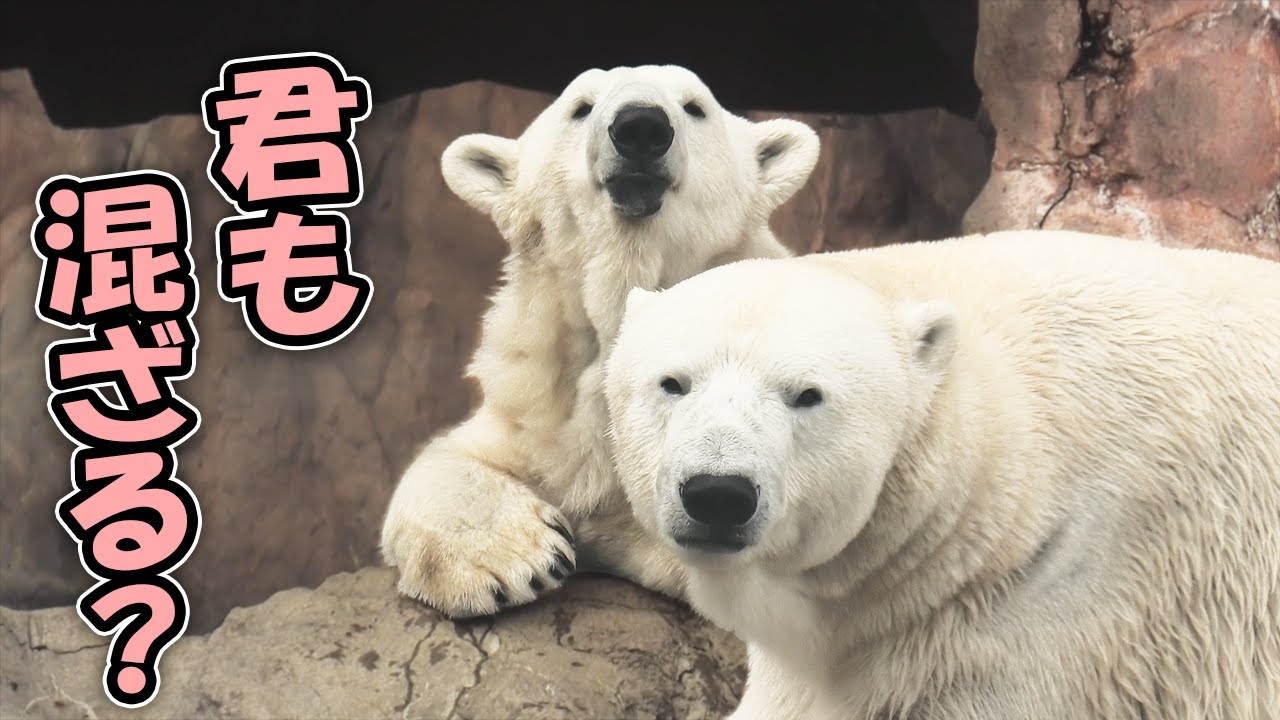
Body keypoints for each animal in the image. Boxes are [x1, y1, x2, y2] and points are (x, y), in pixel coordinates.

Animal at [381, 65, 821, 618]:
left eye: (695, 106)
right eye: (581, 107)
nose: (641, 126)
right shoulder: (539, 401)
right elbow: (451, 457)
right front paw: (518, 559)